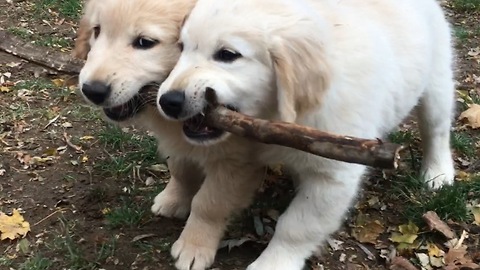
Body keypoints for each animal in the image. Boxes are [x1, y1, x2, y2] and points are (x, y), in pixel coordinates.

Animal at [158, 0, 458, 270]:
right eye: (181, 47)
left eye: (228, 54)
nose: (167, 102)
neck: (277, 114)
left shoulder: (332, 177)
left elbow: (297, 226)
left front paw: (273, 264)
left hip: (436, 83)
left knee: (437, 130)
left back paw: (438, 173)